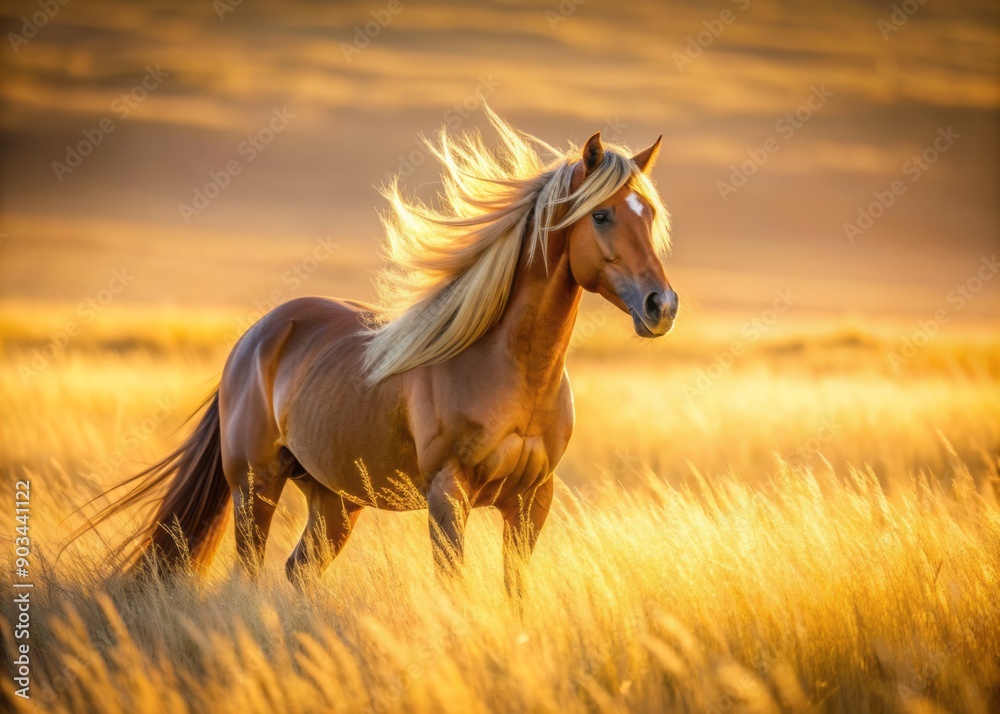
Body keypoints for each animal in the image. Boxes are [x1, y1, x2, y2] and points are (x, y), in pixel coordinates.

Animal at [88, 110, 678, 593]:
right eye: (601, 215)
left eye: (648, 215)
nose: (662, 305)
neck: (509, 369)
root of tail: (256, 338)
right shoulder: (448, 496)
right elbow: (453, 587)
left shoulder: (533, 501)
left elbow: (516, 593)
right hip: (256, 485)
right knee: (249, 574)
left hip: (334, 499)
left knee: (298, 571)